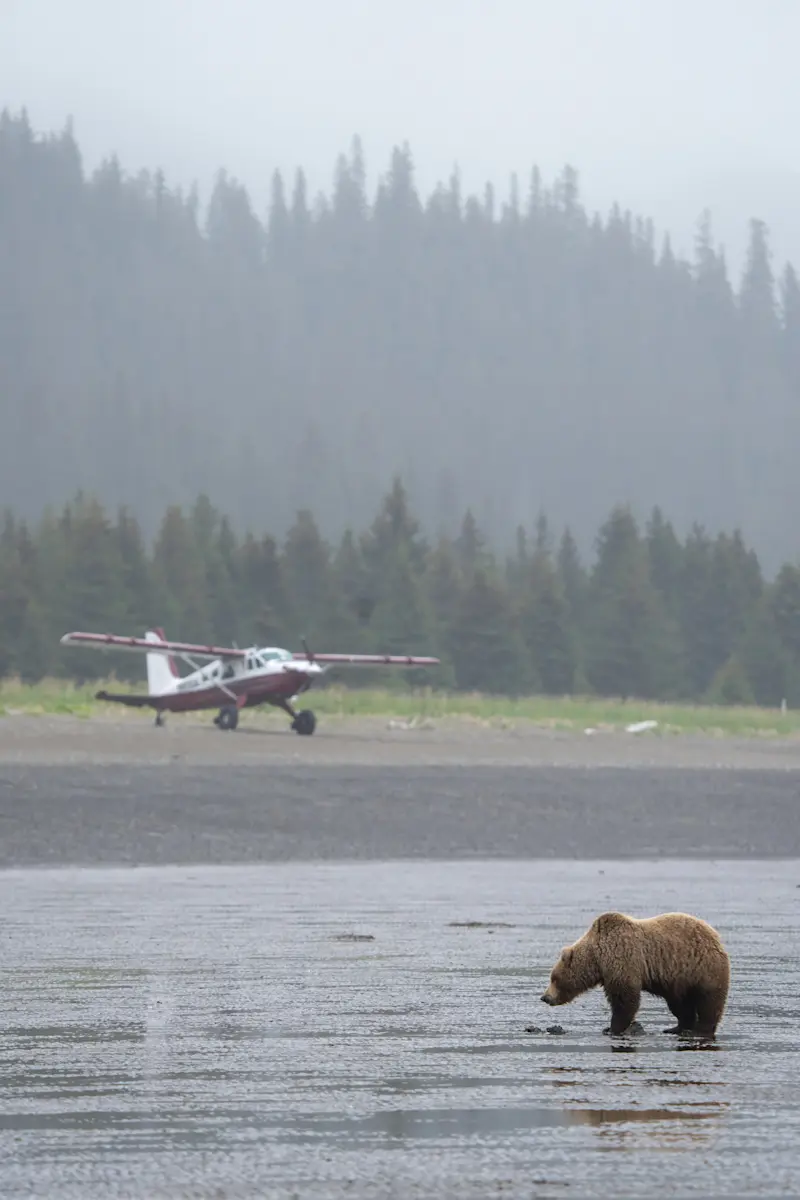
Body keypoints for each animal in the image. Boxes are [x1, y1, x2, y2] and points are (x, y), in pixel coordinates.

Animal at [540, 910, 730, 1037]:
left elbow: (625, 998)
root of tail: (715, 935)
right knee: (680, 1003)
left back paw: (700, 1029)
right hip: (678, 979)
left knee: (708, 1001)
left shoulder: (622, 958)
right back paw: (676, 1027)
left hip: (701, 967)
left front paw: (613, 1028)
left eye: (553, 978)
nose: (545, 997)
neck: (597, 958)